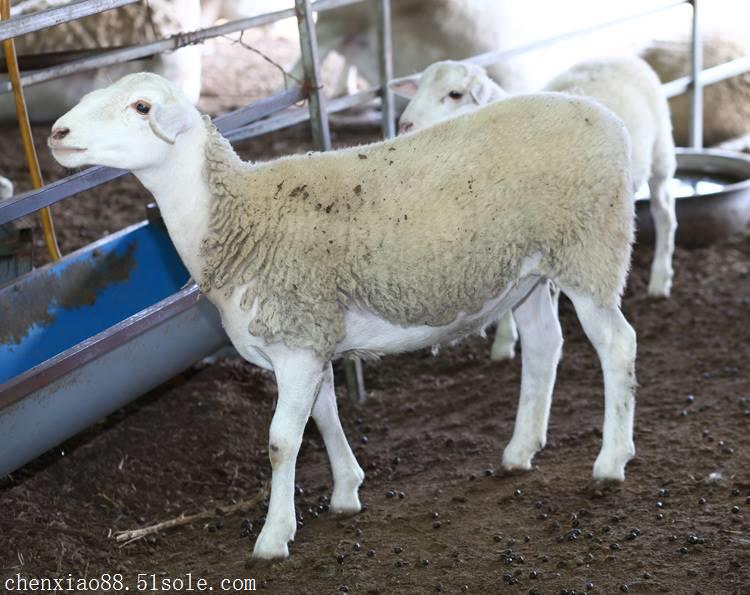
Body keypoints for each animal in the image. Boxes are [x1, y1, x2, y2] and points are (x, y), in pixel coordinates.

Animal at [50, 72, 640, 560]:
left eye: (141, 106)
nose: (57, 132)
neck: (236, 217)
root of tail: (608, 119)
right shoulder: (312, 337)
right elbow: (325, 414)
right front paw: (346, 491)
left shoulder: (296, 341)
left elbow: (281, 443)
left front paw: (273, 537)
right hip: (530, 271)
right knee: (543, 344)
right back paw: (520, 450)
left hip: (590, 247)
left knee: (618, 345)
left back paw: (611, 461)